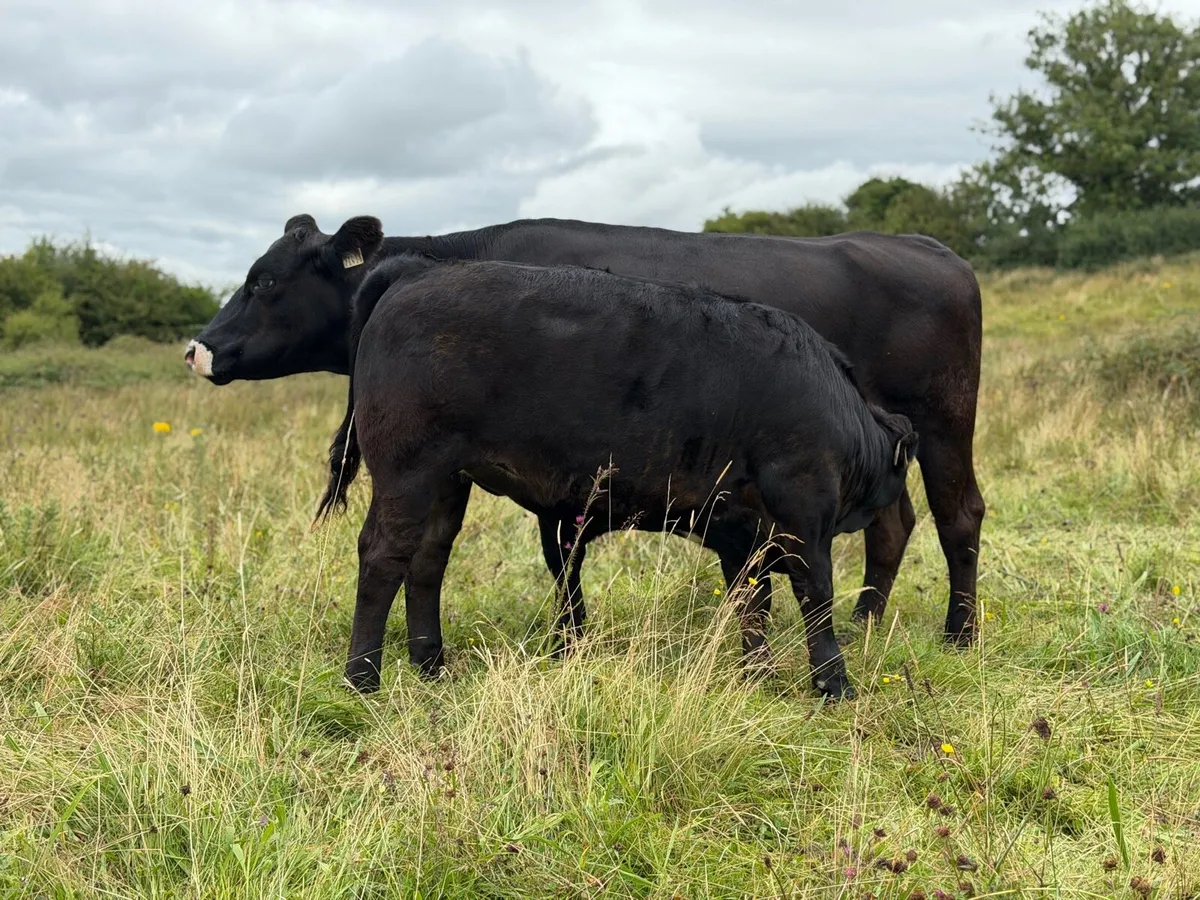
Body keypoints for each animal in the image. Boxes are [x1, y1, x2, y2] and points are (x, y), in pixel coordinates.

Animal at [186, 214, 984, 648]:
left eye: (263, 281)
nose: (197, 347)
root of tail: (931, 248)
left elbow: (559, 560)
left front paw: (569, 641)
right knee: (894, 524)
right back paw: (866, 621)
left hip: (946, 424)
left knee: (959, 517)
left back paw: (959, 633)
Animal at [314, 251, 919, 699]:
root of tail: (416, 270)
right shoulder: (802, 511)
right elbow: (816, 595)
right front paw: (834, 684)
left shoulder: (741, 534)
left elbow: (753, 605)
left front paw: (758, 677)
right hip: (408, 471)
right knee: (382, 557)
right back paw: (362, 678)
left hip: (446, 480)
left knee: (427, 562)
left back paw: (431, 665)